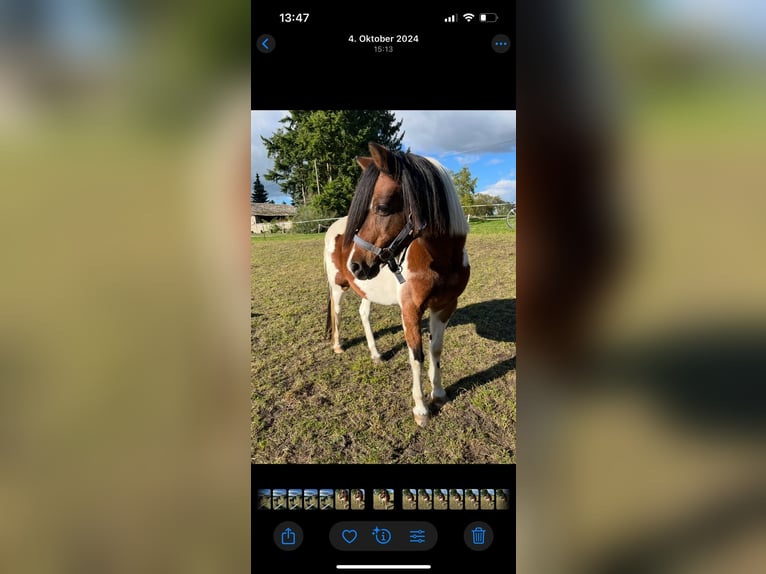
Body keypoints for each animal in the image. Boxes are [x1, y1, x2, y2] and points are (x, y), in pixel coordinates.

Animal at [324, 142, 470, 426]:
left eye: (381, 208)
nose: (355, 265)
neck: (440, 259)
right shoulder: (410, 310)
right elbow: (416, 357)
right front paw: (421, 409)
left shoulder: (445, 307)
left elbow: (436, 350)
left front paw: (439, 394)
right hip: (337, 288)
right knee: (337, 313)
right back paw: (337, 346)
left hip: (365, 289)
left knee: (363, 314)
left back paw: (376, 354)